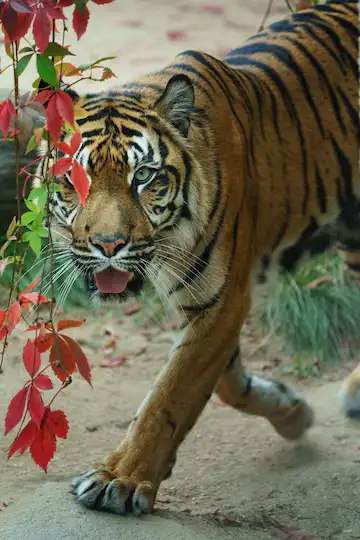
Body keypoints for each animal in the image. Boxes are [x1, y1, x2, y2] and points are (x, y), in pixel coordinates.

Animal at [33, 0, 358, 516]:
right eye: (73, 179)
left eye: (144, 177)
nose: (108, 244)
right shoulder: (209, 307)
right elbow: (224, 382)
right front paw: (292, 411)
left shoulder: (222, 300)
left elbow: (171, 391)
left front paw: (119, 479)